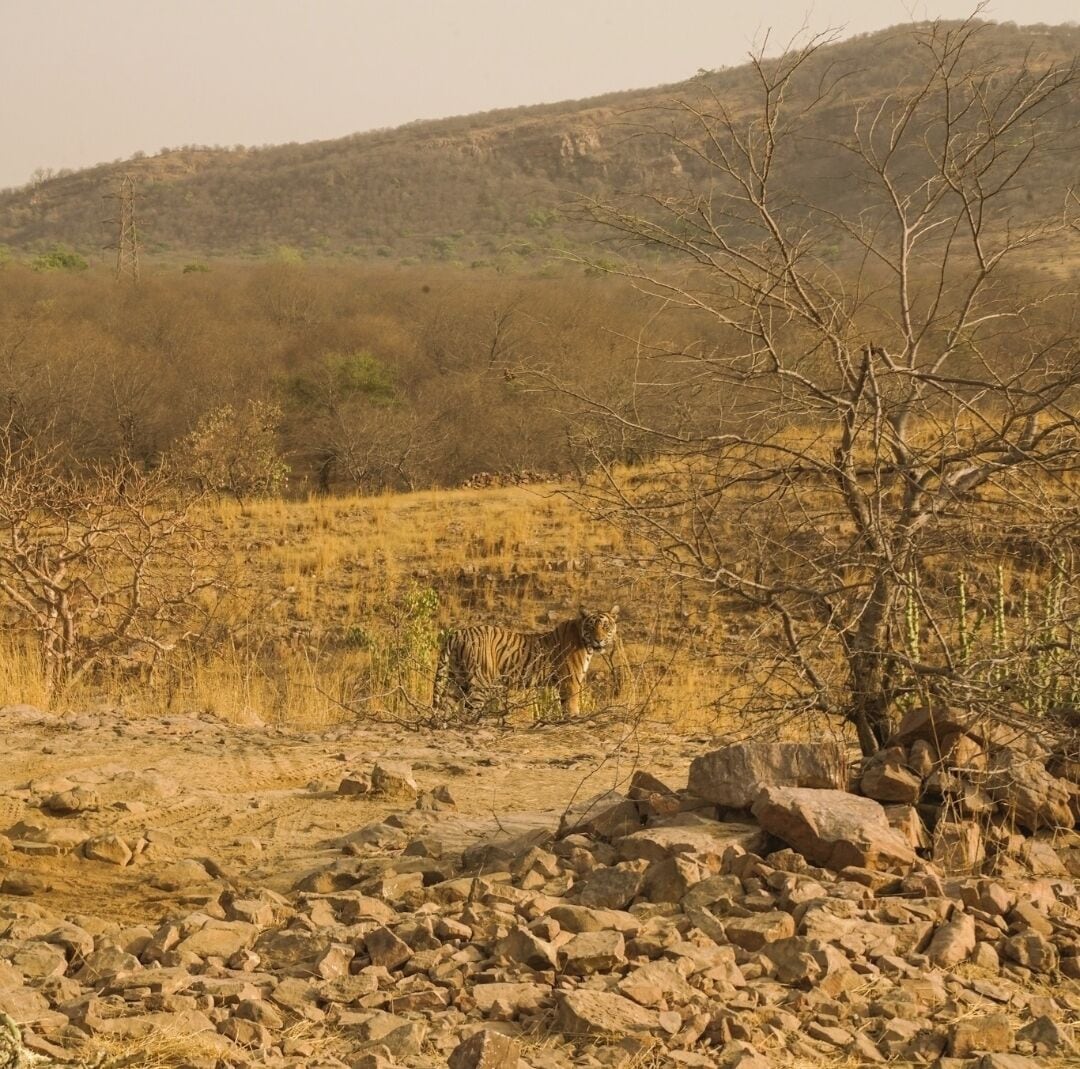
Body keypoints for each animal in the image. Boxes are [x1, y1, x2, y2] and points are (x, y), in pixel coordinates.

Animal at [431, 606, 620, 720]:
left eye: (605, 626)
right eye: (591, 627)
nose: (598, 640)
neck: (585, 642)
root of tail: (459, 633)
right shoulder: (570, 681)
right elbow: (572, 707)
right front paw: (573, 720)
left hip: (456, 679)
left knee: (445, 707)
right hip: (479, 682)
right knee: (468, 712)